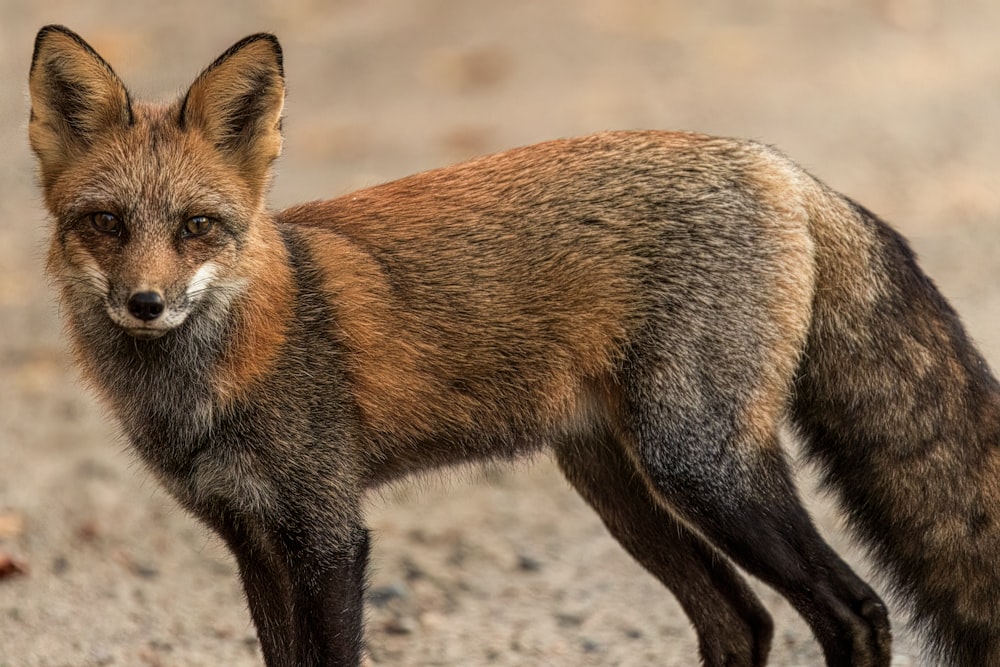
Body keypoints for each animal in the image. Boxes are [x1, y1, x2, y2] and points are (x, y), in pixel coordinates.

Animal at [25, 22, 1000, 667]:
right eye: (106, 224)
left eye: (197, 226)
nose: (145, 304)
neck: (210, 383)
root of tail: (775, 164)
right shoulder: (252, 540)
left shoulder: (330, 534)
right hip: (620, 487)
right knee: (742, 620)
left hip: (702, 467)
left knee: (854, 610)